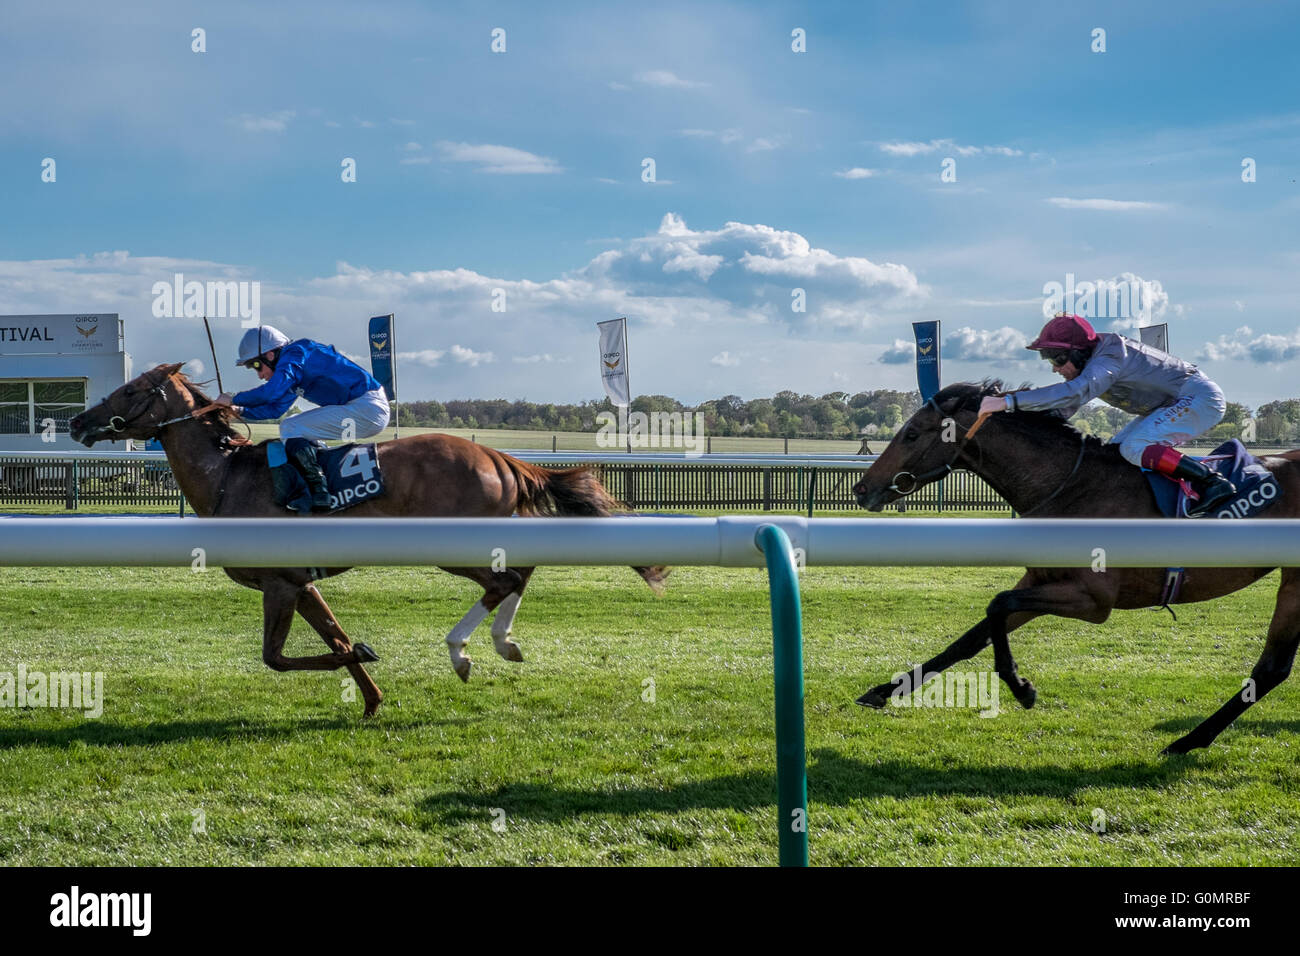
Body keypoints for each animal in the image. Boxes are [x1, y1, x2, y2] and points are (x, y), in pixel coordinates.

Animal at [68, 364, 669, 717]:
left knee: (505, 579)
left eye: (130, 389)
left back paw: (466, 652)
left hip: (451, 546)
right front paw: (372, 695)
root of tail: (497, 455)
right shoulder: (299, 584)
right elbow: (331, 637)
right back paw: (502, 643)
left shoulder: (280, 583)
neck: (227, 476)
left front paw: (363, 654)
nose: (77, 422)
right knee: (520, 573)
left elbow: (278, 657)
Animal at [850, 380, 1300, 755]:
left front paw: (1021, 688)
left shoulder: (1092, 601)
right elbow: (971, 637)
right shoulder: (1041, 581)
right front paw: (884, 690)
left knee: (1271, 667)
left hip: (1294, 580)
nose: (861, 488)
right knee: (1274, 667)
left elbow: (998, 604)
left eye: (911, 433)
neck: (1072, 486)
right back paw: (1192, 739)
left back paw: (1188, 740)